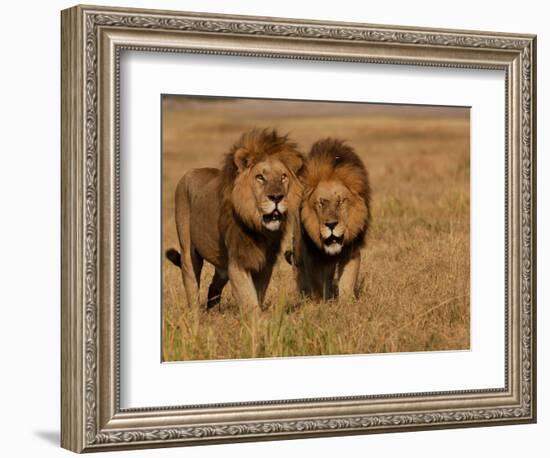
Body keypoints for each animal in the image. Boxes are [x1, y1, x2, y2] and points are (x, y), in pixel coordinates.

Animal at [166, 129, 304, 312]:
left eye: (283, 177)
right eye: (260, 177)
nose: (277, 197)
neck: (260, 229)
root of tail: (192, 171)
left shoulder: (265, 264)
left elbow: (258, 296)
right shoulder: (237, 263)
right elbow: (249, 300)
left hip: (221, 265)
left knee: (213, 287)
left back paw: (213, 313)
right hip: (188, 252)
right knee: (192, 287)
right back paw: (196, 315)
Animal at [286, 140, 374, 302]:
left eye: (341, 201)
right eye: (321, 203)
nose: (331, 225)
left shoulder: (351, 250)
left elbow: (348, 279)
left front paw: (347, 302)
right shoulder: (312, 254)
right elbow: (317, 283)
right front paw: (321, 302)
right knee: (299, 268)